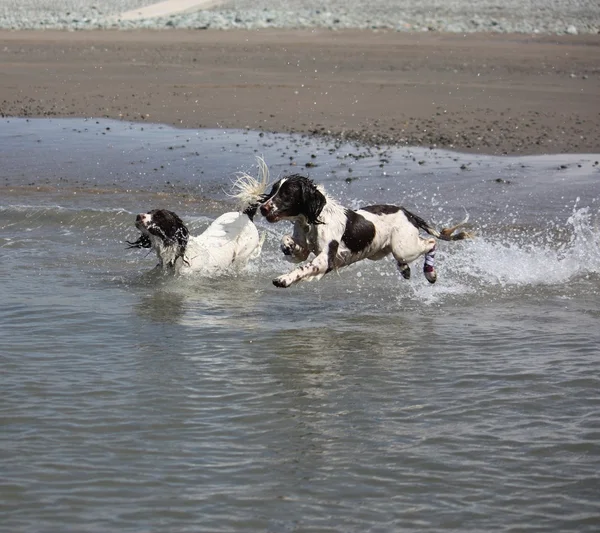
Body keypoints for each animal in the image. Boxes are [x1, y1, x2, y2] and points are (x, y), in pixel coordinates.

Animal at [260, 175, 472, 286]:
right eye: (274, 190)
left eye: (287, 193)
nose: (263, 208)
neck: (312, 221)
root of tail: (407, 213)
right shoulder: (305, 248)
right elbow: (291, 245)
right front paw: (287, 246)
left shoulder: (326, 259)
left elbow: (302, 268)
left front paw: (284, 279)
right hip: (384, 250)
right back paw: (404, 269)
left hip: (404, 247)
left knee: (431, 242)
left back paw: (430, 273)